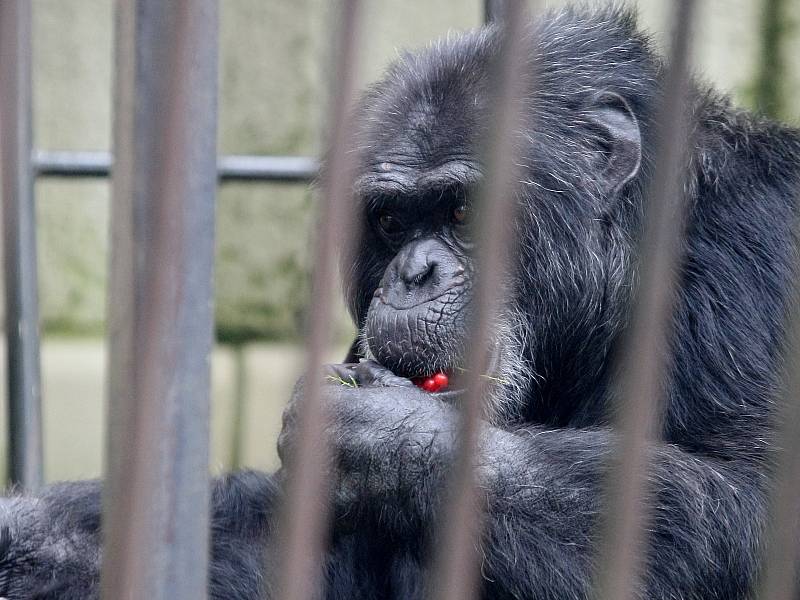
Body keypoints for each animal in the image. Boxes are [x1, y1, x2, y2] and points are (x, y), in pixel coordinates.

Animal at [1, 5, 800, 600]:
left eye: (463, 212)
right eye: (389, 221)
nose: (413, 272)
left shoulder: (755, 256)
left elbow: (754, 502)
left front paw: (384, 434)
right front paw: (35, 538)